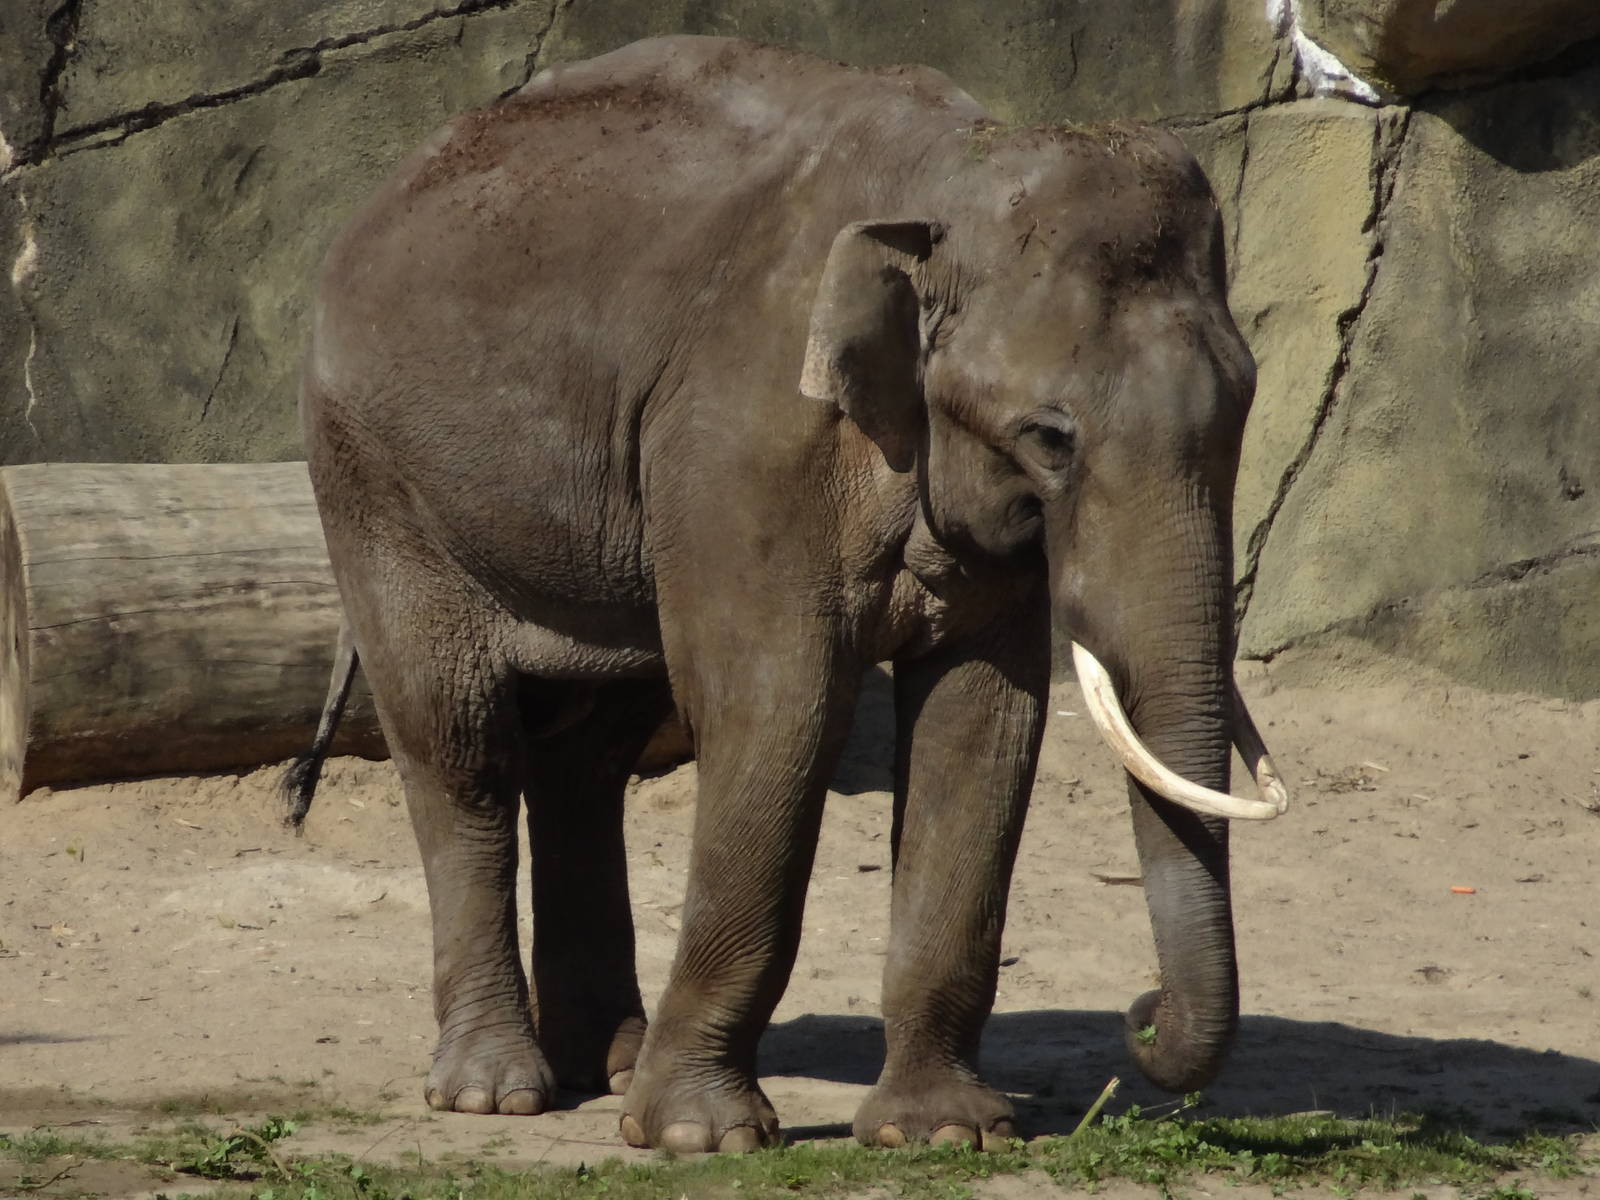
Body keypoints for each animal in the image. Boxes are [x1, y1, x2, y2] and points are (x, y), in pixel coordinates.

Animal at [286, 35, 1288, 1154]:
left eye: (1243, 405)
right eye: (1049, 436)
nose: (1140, 1016)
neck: (946, 172)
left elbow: (982, 724)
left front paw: (942, 1135)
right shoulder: (743, 443)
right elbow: (779, 709)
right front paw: (700, 1137)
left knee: (587, 760)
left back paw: (606, 1064)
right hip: (374, 481)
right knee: (458, 745)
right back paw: (496, 1093)